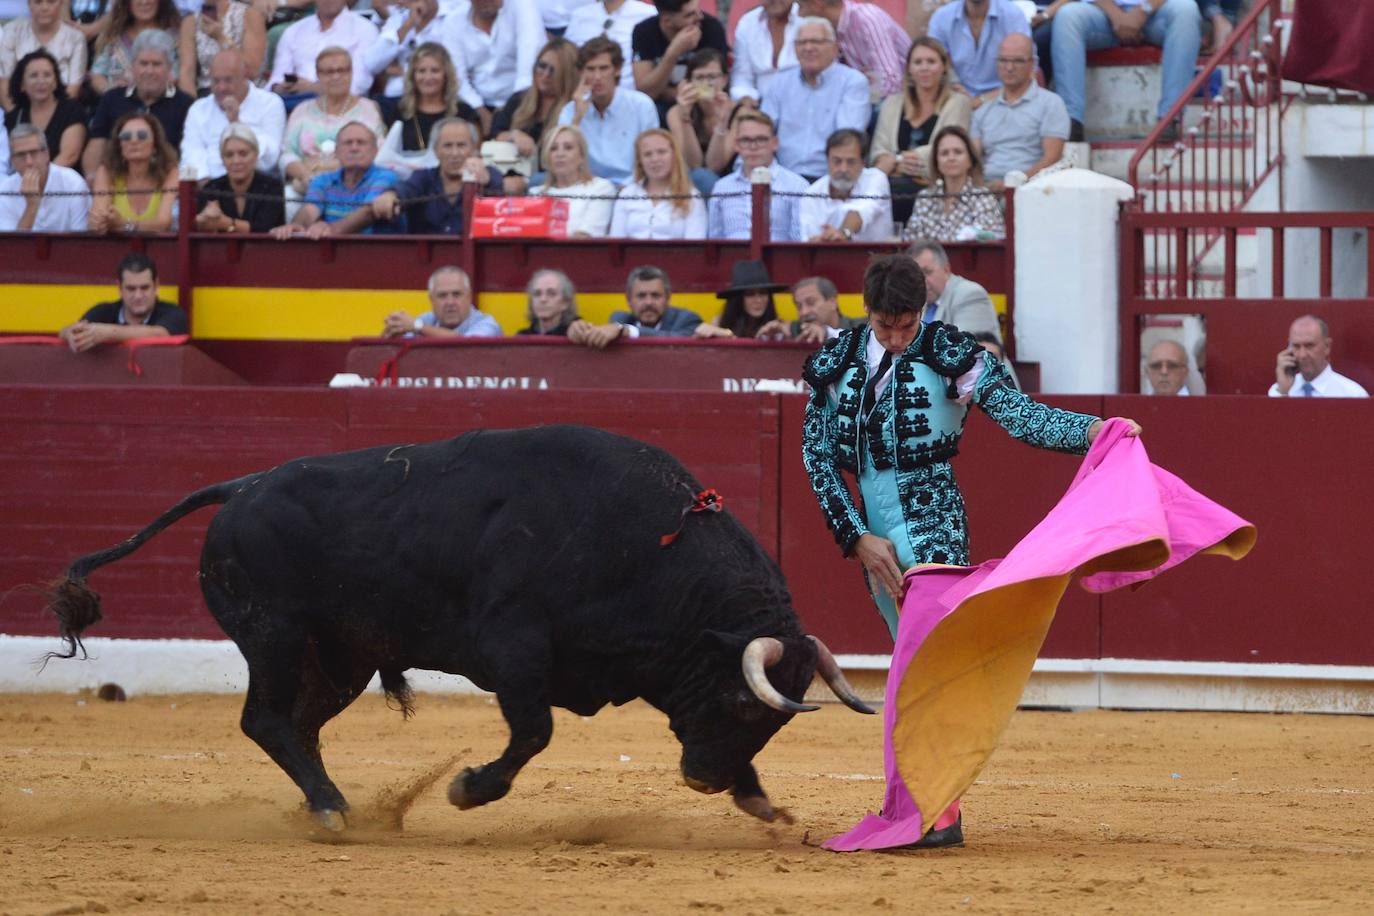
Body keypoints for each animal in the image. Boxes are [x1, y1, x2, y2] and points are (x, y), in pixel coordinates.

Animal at [50, 425, 879, 829]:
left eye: (771, 721)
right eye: (741, 701)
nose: (705, 780)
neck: (647, 544)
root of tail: (242, 487)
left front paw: (761, 799)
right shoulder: (512, 651)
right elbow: (534, 732)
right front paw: (468, 790)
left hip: (341, 657)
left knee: (298, 726)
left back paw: (329, 803)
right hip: (275, 636)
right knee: (267, 720)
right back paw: (332, 811)